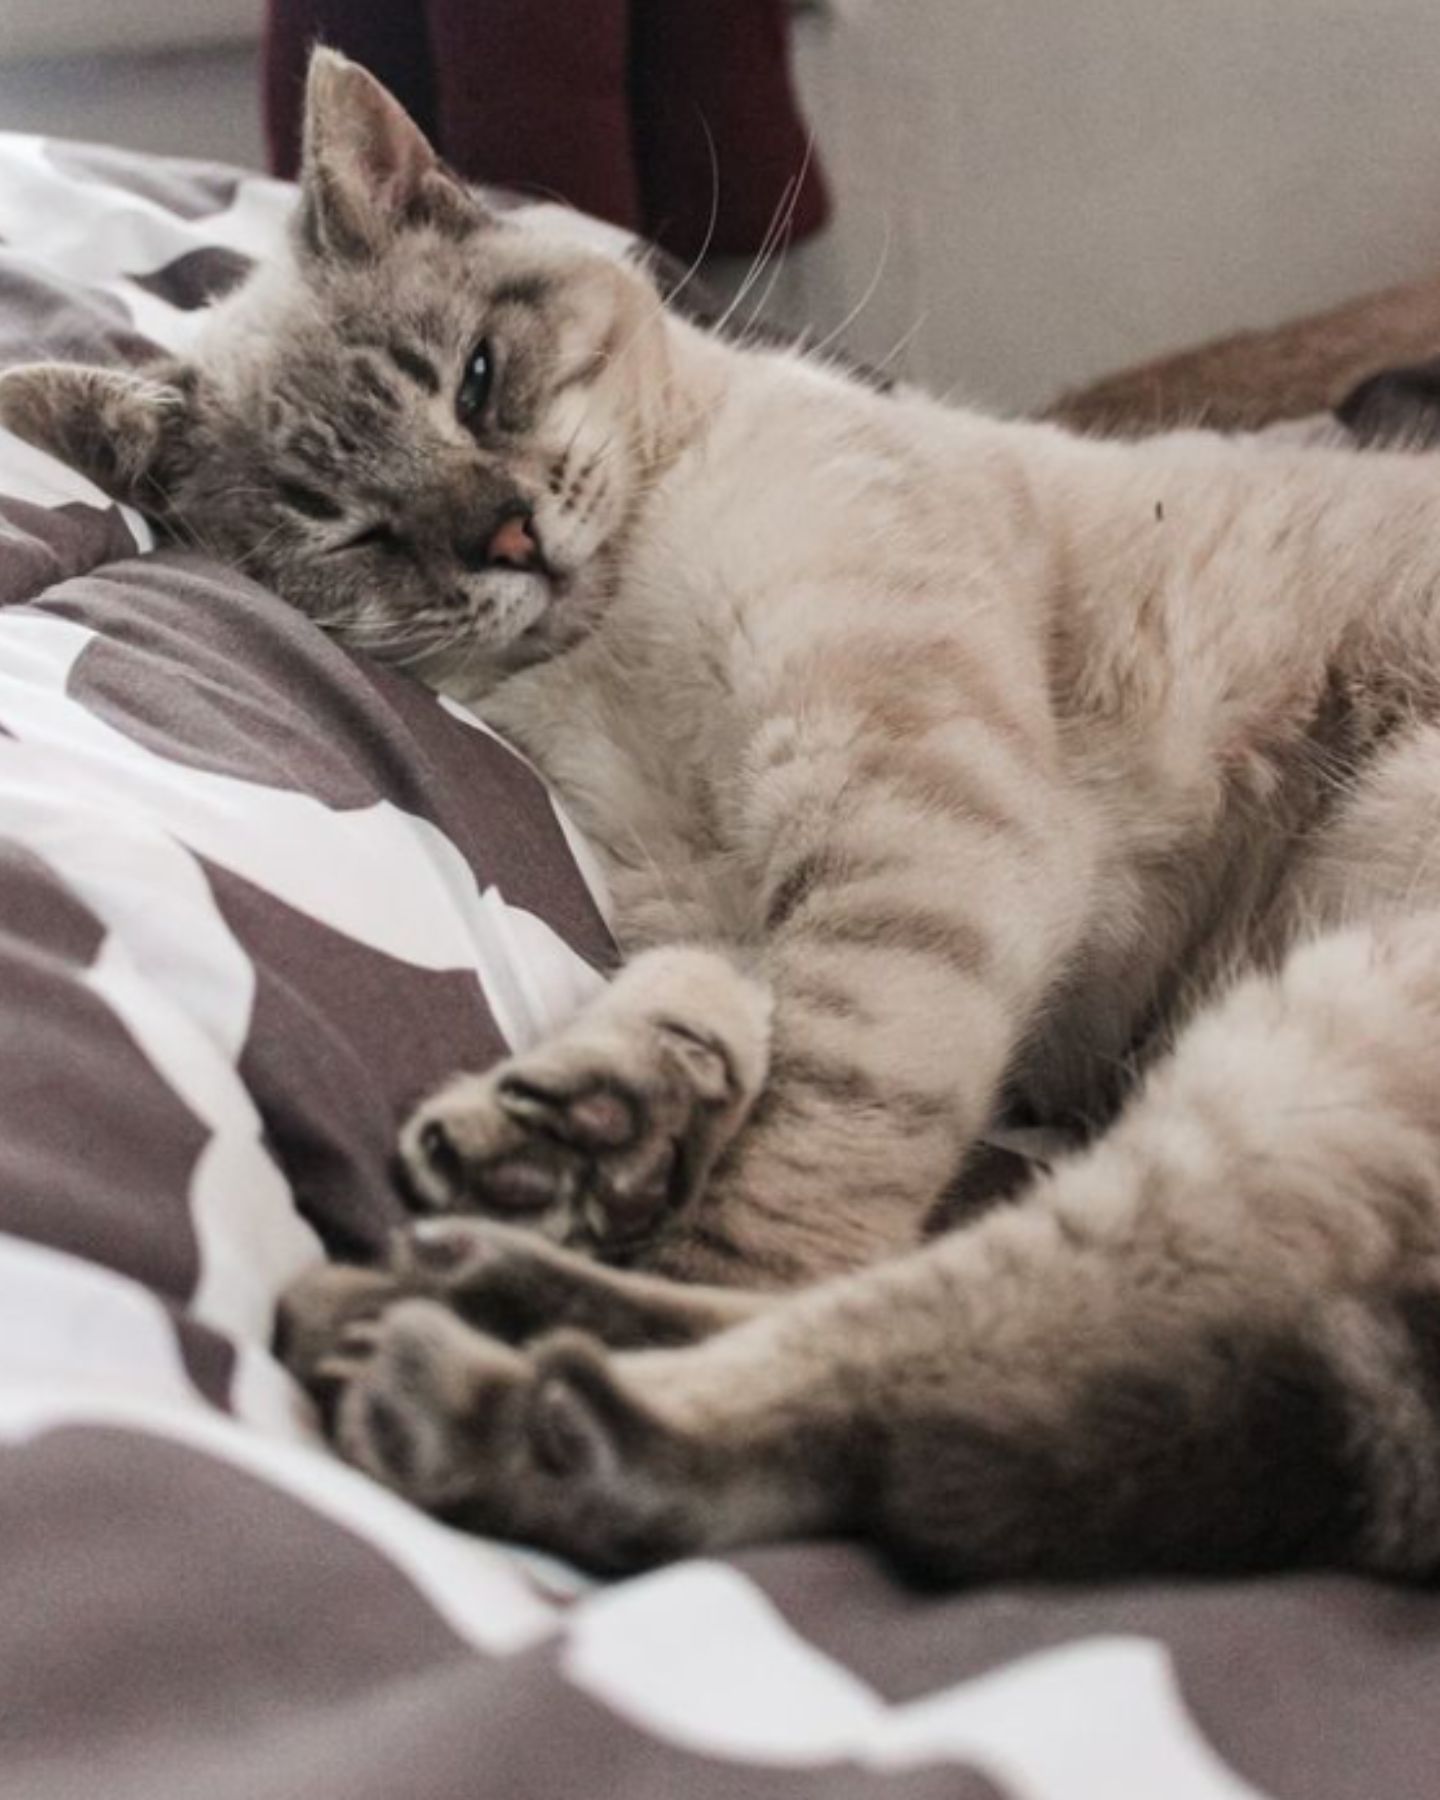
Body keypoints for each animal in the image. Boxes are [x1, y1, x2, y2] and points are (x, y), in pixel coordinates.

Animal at [8, 49, 1440, 1584]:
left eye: (476, 383)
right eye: (345, 525)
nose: (507, 536)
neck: (612, 649)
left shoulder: (907, 813)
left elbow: (800, 1172)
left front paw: (633, 1174)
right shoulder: (722, 873)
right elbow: (716, 1003)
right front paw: (594, 1120)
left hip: (1322, 1026)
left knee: (974, 1353)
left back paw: (461, 1374)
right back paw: (454, 1287)